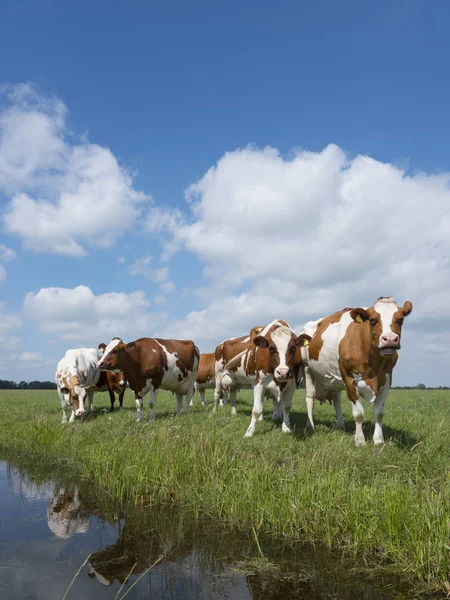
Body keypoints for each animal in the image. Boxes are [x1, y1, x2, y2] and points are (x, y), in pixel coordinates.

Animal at [300, 298, 414, 446]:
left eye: (400, 320)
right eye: (372, 320)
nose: (390, 339)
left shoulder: (387, 379)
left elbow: (379, 412)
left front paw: (378, 440)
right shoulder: (349, 379)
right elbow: (359, 413)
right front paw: (360, 440)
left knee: (337, 400)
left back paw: (340, 425)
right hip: (307, 370)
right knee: (309, 399)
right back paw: (310, 426)